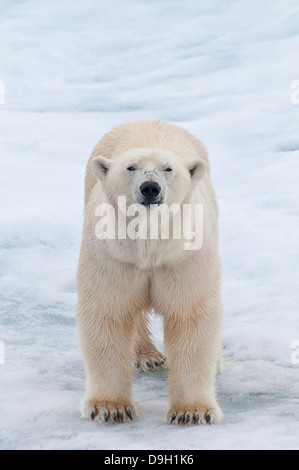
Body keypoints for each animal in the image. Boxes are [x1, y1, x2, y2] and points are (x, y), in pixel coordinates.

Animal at [76, 120, 224, 426]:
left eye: (168, 168)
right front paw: (110, 407)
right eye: (130, 167)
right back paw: (146, 356)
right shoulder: (114, 256)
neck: (150, 244)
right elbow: (109, 311)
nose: (150, 188)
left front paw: (192, 411)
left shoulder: (183, 257)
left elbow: (190, 315)